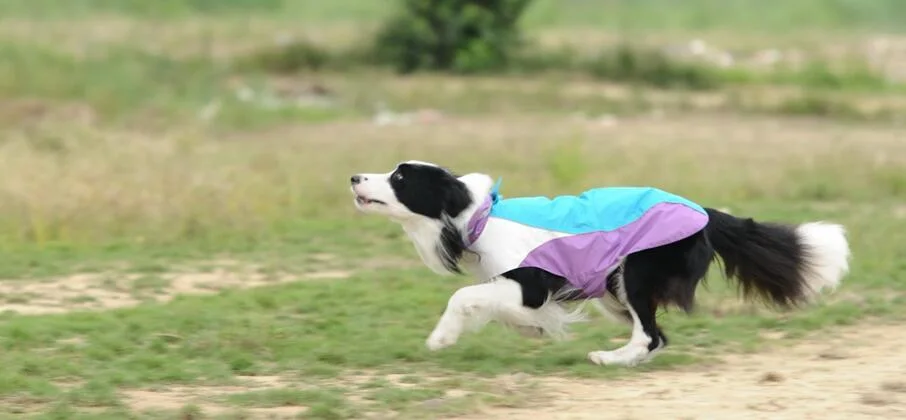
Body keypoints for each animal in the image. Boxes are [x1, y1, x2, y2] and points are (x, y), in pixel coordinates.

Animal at [346, 162, 848, 366]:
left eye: (400, 177)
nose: (353, 177)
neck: (474, 213)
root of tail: (703, 212)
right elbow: (505, 308)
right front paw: (534, 329)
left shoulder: (528, 281)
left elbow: (464, 295)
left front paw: (441, 338)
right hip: (612, 287)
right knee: (657, 335)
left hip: (634, 273)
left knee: (649, 333)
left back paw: (609, 358)